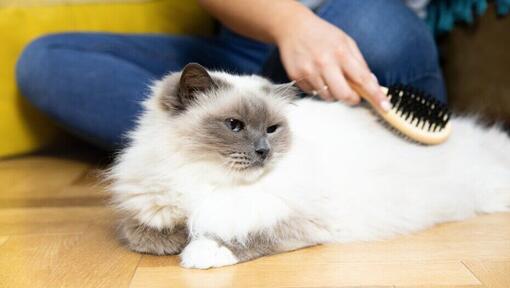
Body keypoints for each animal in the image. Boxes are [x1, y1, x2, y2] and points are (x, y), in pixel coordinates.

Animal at [107, 62, 510, 268]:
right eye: (234, 125)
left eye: (272, 129)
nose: (263, 151)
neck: (206, 177)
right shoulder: (147, 211)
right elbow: (151, 235)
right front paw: (178, 239)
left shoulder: (296, 219)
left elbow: (246, 235)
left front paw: (201, 252)